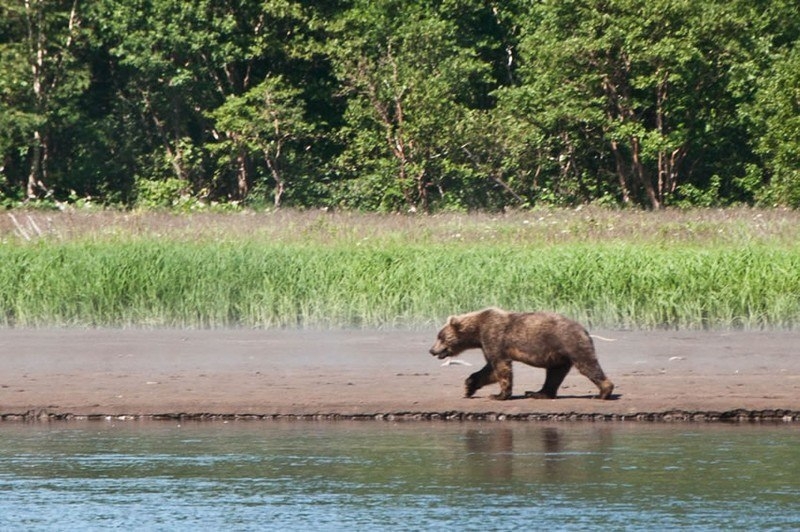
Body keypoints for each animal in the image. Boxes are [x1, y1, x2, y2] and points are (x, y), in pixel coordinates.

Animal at [432, 308, 612, 400]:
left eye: (441, 337)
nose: (432, 350)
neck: (476, 332)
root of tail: (584, 330)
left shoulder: (494, 337)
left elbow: (501, 367)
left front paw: (498, 395)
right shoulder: (487, 344)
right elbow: (489, 370)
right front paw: (469, 387)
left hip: (570, 343)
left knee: (587, 365)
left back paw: (603, 392)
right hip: (559, 355)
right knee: (554, 374)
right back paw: (538, 393)